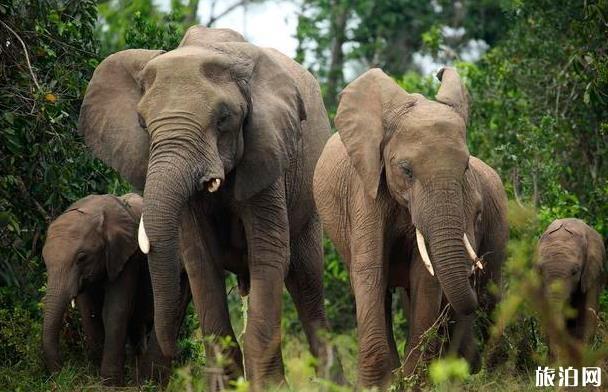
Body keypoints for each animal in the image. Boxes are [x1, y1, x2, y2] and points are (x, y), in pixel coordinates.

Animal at [41, 194, 189, 386]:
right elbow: (89, 312)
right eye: (44, 258)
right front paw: (94, 371)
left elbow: (116, 310)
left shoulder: (127, 256)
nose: (61, 374)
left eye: (82, 258)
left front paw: (109, 382)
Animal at [78, 26, 340, 388]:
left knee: (306, 284)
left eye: (224, 118)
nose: (175, 350)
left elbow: (268, 253)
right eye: (142, 123)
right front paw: (228, 386)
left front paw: (269, 387)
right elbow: (199, 261)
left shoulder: (266, 150)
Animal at [314, 68, 508, 388]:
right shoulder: (366, 189)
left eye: (465, 167)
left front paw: (415, 382)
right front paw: (378, 385)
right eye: (405, 169)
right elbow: (370, 270)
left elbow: (425, 278)